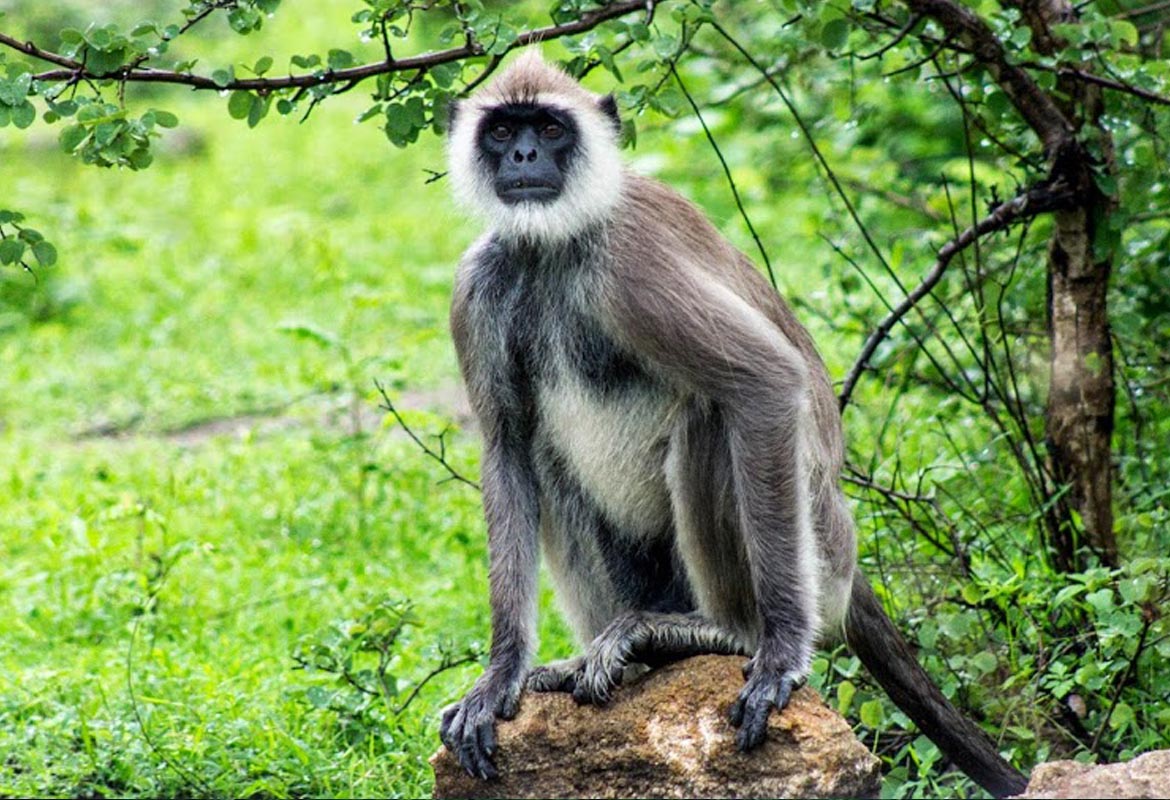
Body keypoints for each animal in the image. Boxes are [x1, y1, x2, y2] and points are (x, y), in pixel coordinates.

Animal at [437, 53, 1024, 795]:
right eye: (501, 130)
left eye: (548, 127)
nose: (522, 156)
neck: (556, 244)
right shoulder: (479, 282)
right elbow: (508, 446)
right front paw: (501, 675)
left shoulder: (628, 261)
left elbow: (764, 382)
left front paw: (778, 653)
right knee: (546, 453)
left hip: (817, 550)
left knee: (713, 413)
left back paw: (719, 632)